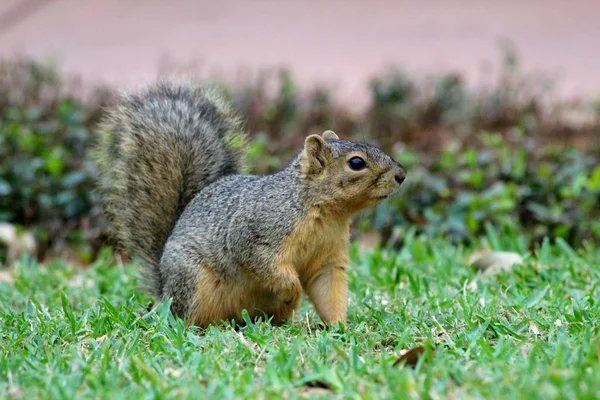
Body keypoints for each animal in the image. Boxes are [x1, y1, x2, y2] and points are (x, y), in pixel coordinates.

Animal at [95, 80, 408, 328]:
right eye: (356, 163)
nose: (401, 175)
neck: (323, 212)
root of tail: (163, 289)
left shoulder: (328, 261)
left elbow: (328, 291)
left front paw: (340, 326)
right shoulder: (256, 232)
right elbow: (260, 261)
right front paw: (292, 289)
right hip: (194, 282)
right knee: (188, 316)